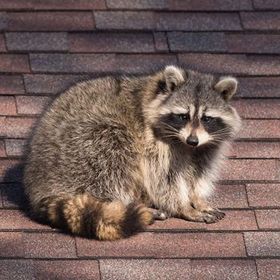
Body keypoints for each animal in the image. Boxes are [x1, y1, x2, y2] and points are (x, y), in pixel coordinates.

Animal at [23, 65, 241, 241]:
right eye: (183, 116)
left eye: (207, 119)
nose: (192, 140)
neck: (184, 144)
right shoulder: (154, 143)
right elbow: (163, 180)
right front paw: (184, 207)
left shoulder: (205, 147)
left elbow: (195, 173)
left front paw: (196, 199)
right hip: (81, 147)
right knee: (114, 159)